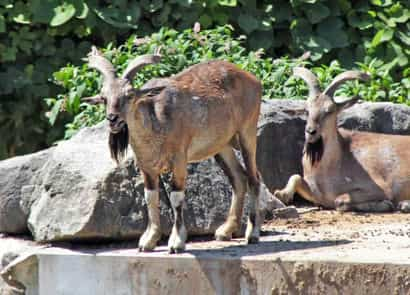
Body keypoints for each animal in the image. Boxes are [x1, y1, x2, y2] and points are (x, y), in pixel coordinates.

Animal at [83, 47, 282, 253]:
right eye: (104, 98)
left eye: (129, 95)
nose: (112, 119)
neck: (158, 123)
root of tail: (254, 79)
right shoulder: (147, 167)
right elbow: (150, 197)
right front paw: (149, 240)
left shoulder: (179, 160)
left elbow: (176, 197)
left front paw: (177, 242)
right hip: (222, 146)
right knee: (238, 178)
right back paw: (225, 231)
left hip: (247, 134)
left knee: (254, 178)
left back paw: (253, 233)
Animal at [274, 67, 410, 213]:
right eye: (306, 110)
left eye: (329, 110)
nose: (311, 132)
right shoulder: (316, 193)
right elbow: (296, 177)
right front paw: (281, 194)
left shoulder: (381, 187)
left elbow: (339, 200)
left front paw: (384, 204)